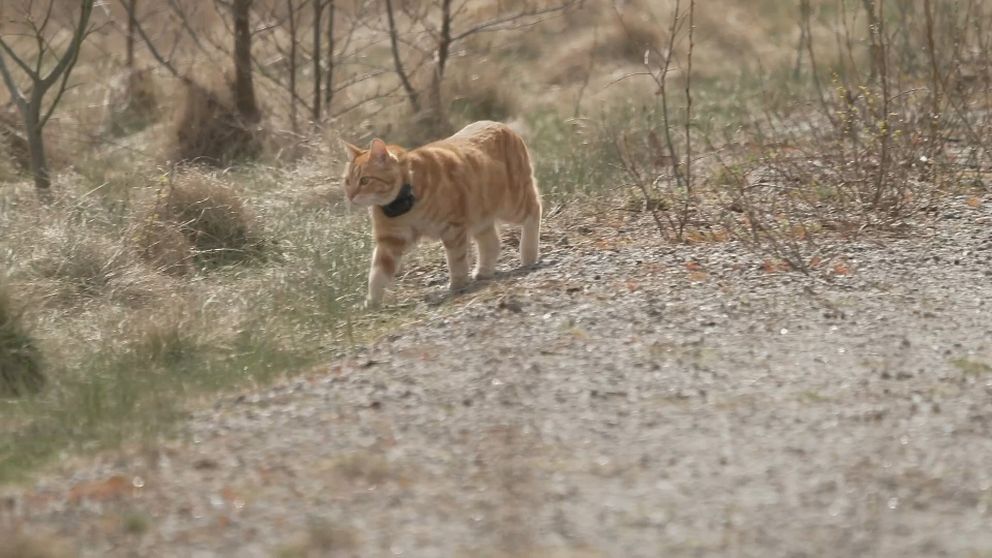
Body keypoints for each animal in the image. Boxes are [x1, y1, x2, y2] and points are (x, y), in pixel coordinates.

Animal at [342, 120, 544, 308]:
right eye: (347, 181)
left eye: (364, 180)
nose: (350, 196)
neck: (405, 203)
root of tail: (500, 124)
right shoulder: (390, 241)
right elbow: (377, 274)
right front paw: (372, 302)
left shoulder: (452, 228)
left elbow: (456, 260)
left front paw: (458, 284)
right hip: (480, 216)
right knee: (492, 242)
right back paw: (484, 271)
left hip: (512, 204)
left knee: (534, 209)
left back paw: (528, 254)